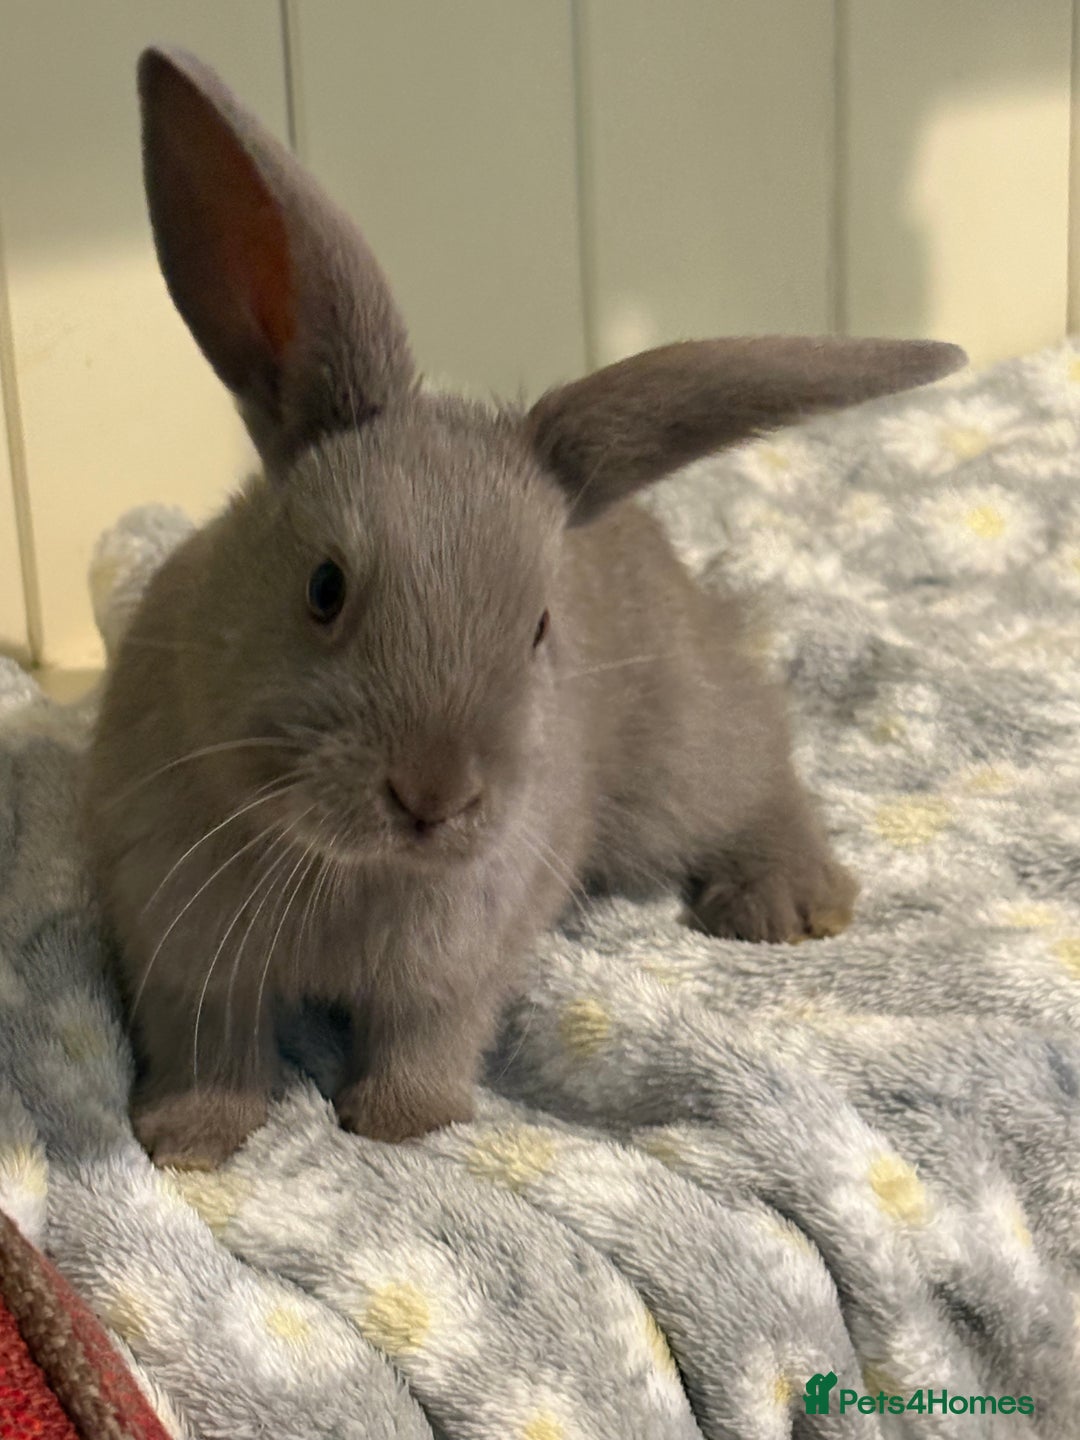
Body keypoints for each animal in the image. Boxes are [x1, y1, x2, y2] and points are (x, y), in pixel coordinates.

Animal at [84, 46, 966, 1170]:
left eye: (539, 628)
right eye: (324, 589)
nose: (434, 796)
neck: (342, 870)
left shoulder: (458, 967)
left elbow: (430, 1033)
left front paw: (404, 1125)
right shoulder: (180, 955)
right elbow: (209, 1046)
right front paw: (190, 1145)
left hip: (680, 769)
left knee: (765, 770)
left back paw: (789, 906)